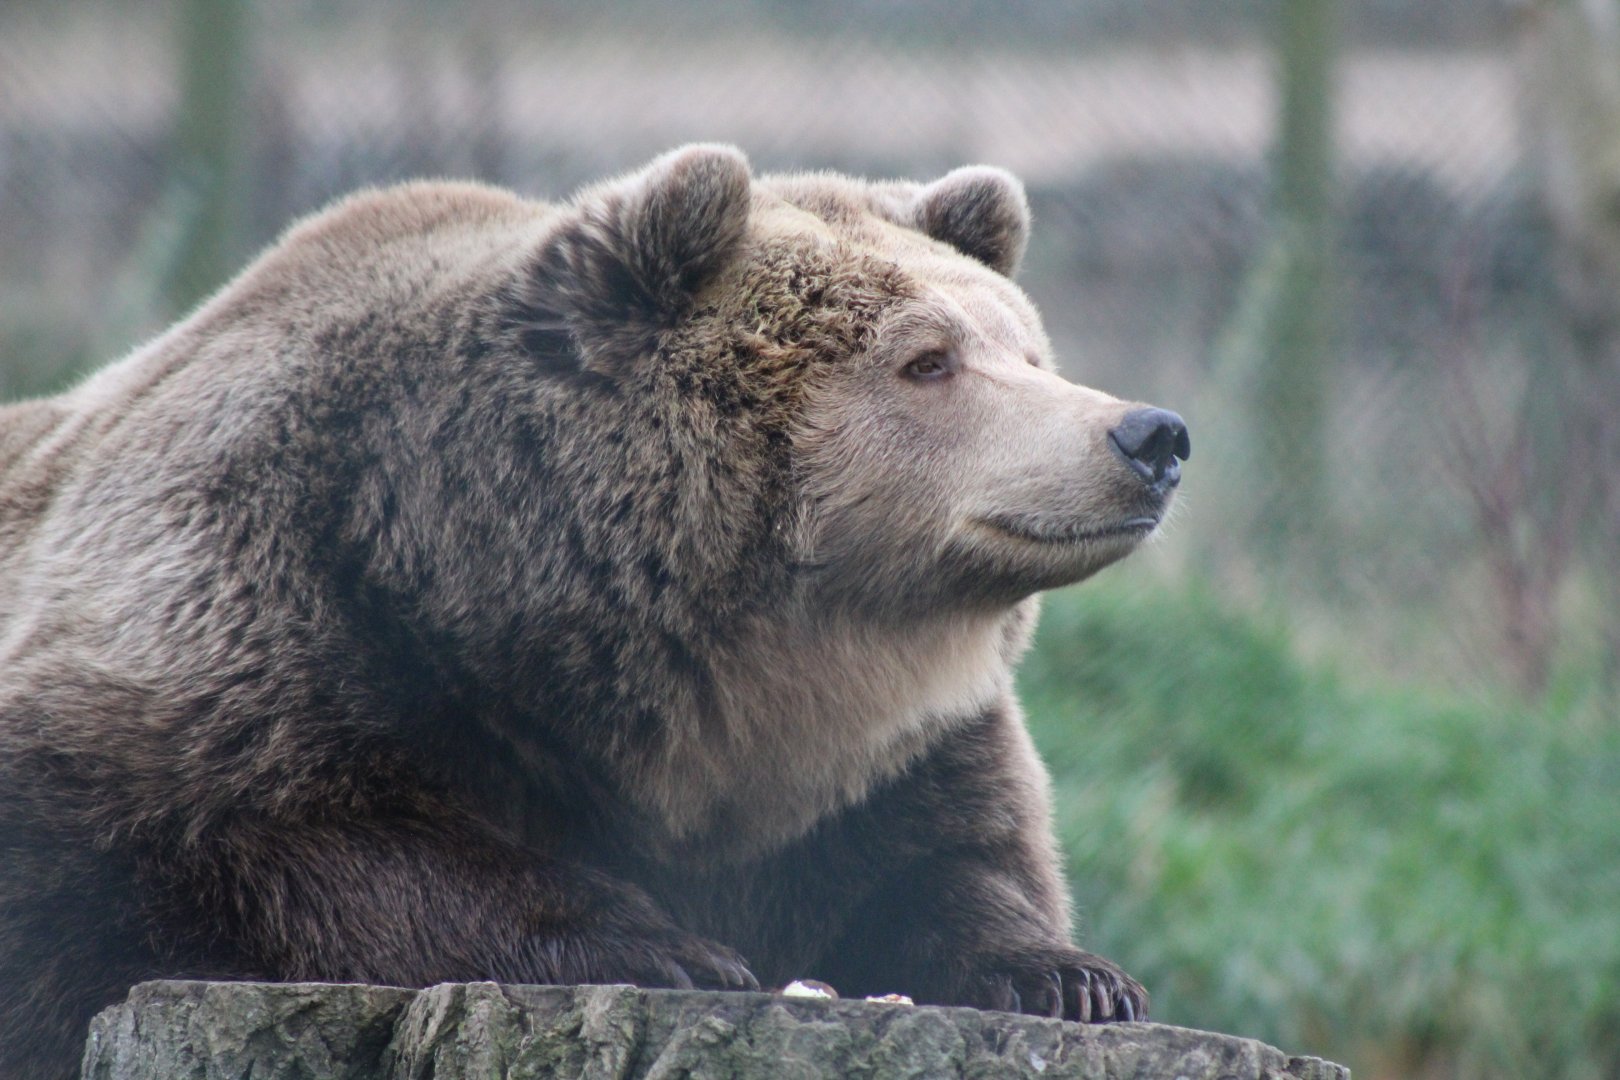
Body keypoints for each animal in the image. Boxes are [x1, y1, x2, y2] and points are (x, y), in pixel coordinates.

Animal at [0, 144, 1188, 1079]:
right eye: (927, 359)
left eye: (1027, 350)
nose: (1149, 434)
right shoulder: (257, 602)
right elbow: (274, 832)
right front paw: (671, 949)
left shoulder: (878, 759)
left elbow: (952, 860)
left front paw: (1074, 977)